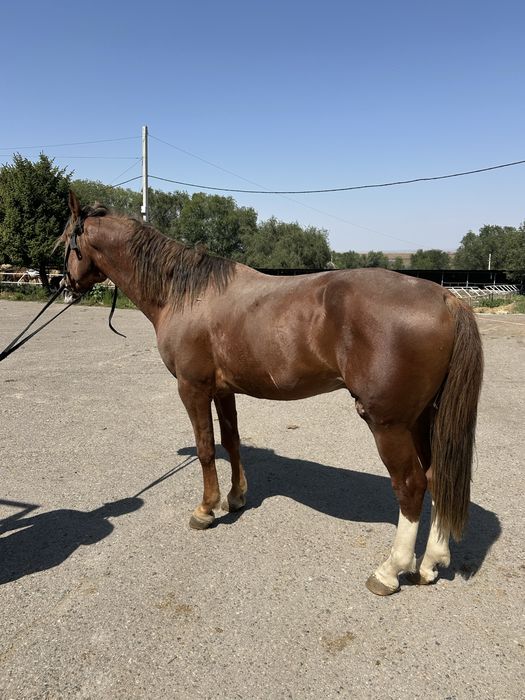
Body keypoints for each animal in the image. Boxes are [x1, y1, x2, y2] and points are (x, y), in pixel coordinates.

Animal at [59, 191, 483, 596]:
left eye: (64, 242)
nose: (64, 287)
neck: (186, 294)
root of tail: (446, 298)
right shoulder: (222, 390)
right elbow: (230, 441)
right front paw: (235, 498)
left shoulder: (192, 388)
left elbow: (205, 448)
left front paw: (205, 510)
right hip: (423, 418)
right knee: (436, 477)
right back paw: (429, 564)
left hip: (389, 424)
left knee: (411, 486)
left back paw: (390, 570)